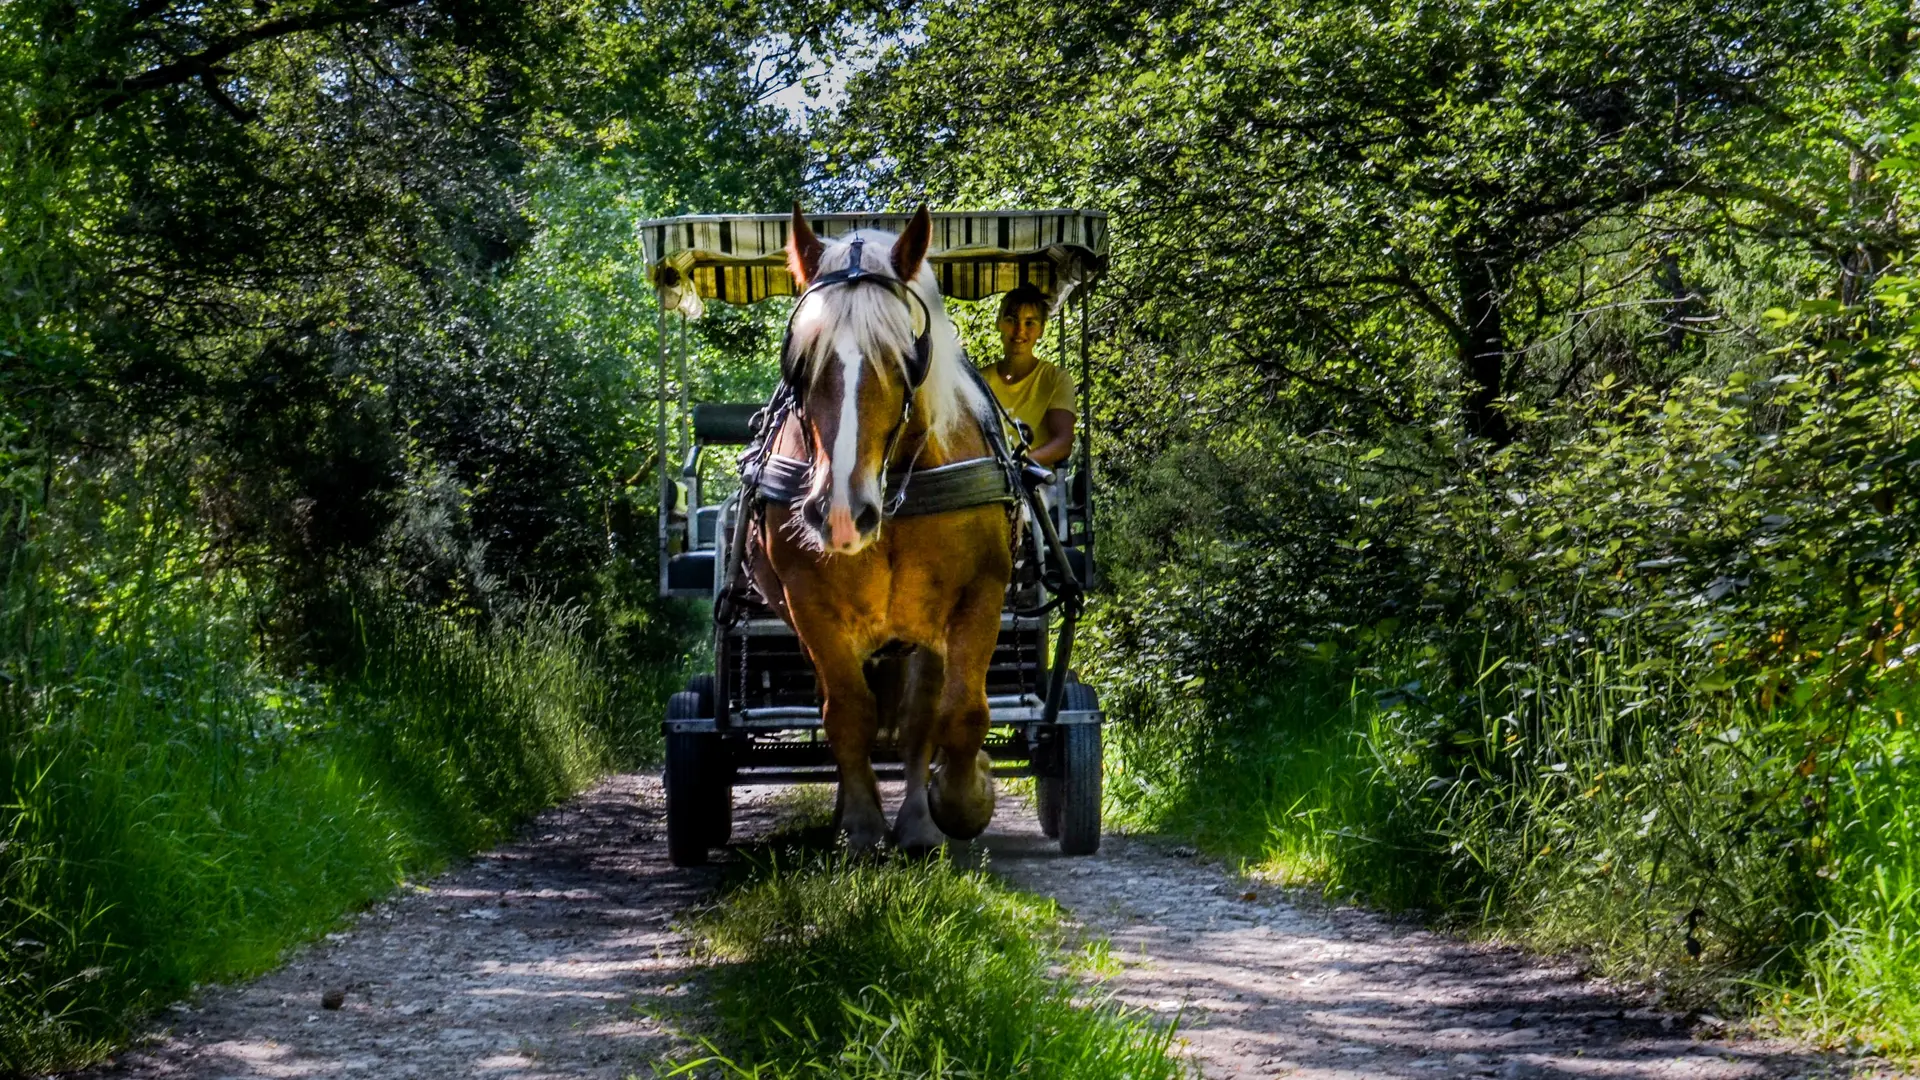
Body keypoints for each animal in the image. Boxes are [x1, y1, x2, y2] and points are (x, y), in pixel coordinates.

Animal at [744, 199, 1021, 841]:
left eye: (902, 360)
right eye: (800, 362)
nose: (842, 513)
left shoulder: (981, 594)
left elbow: (960, 711)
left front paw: (964, 796)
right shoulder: (810, 604)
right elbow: (847, 711)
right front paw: (862, 824)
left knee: (923, 711)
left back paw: (919, 823)